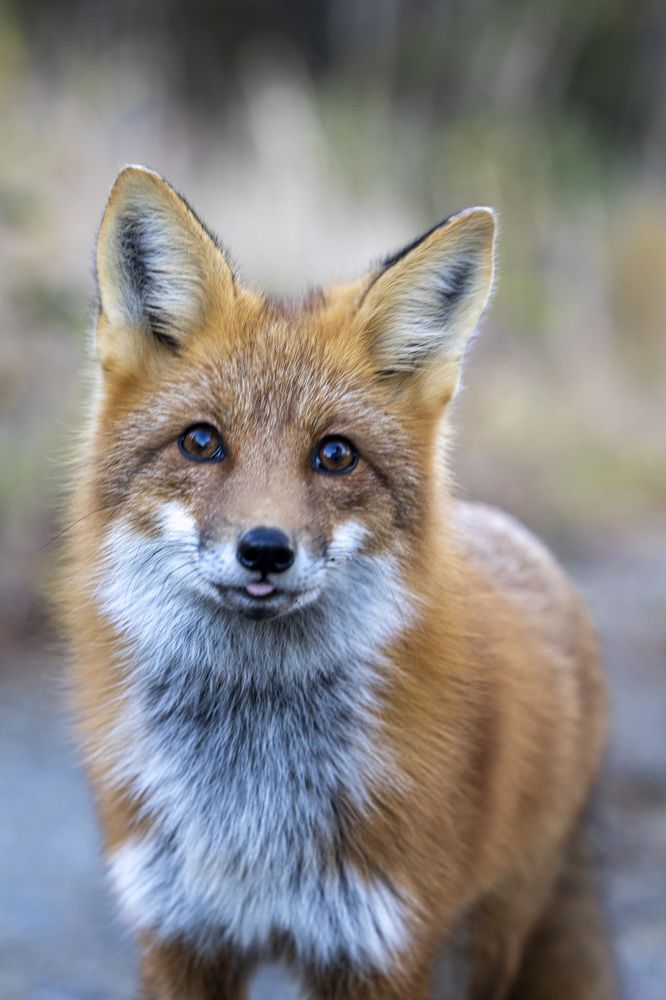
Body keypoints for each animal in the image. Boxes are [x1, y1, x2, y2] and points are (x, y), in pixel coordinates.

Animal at [62, 165, 617, 999]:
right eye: (201, 443)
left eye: (335, 456)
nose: (265, 551)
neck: (249, 800)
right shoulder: (180, 936)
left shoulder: (382, 948)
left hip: (487, 943)